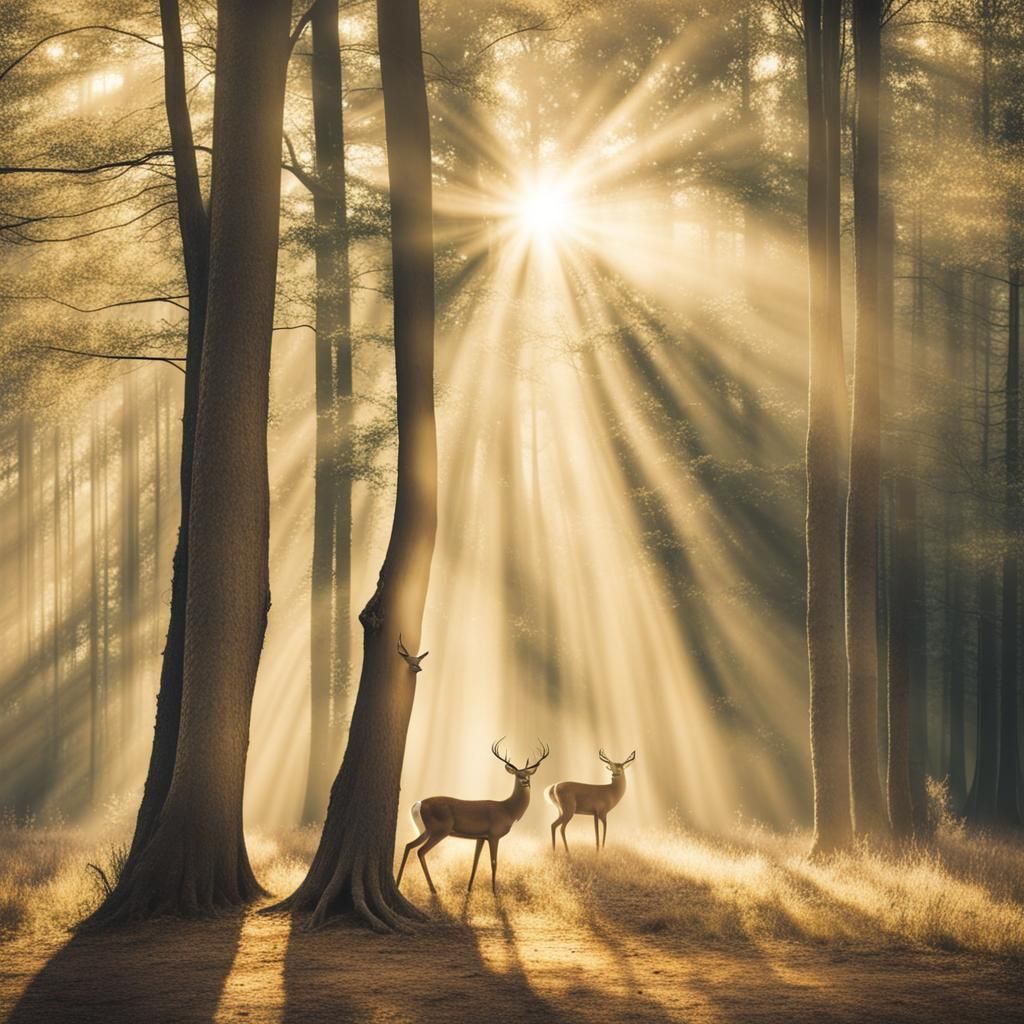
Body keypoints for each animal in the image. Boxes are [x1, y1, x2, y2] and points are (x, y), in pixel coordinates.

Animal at [396, 739, 550, 895]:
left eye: (528, 774)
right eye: (517, 775)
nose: (525, 781)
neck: (508, 810)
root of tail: (418, 804)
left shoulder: (481, 837)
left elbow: (475, 862)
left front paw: (469, 889)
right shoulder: (494, 835)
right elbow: (494, 863)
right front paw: (494, 892)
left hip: (426, 830)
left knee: (409, 845)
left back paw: (398, 883)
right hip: (439, 830)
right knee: (420, 851)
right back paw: (432, 889)